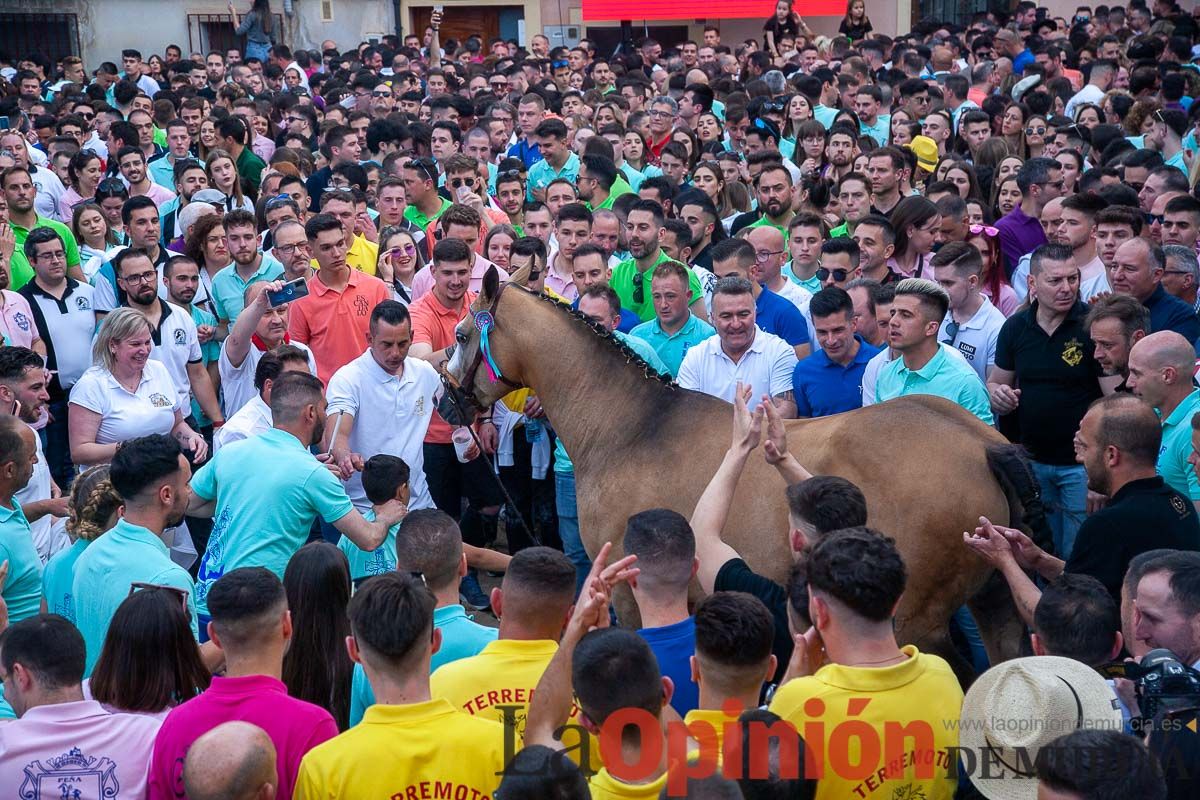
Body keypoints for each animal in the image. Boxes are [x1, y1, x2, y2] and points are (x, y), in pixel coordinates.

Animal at [446, 271, 1046, 676]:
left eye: (461, 335)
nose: (449, 400)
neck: (633, 426)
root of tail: (984, 443)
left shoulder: (627, 592)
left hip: (915, 622)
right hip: (994, 598)